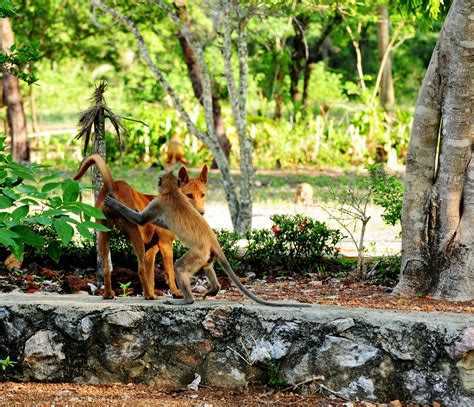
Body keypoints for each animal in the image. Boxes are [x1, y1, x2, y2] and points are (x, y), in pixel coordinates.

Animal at [72, 155, 207, 302]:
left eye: (203, 195)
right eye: (189, 195)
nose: (201, 213)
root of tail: (114, 186)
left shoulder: (150, 251)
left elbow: (150, 278)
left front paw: (152, 291)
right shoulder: (165, 244)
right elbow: (169, 272)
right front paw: (175, 292)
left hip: (103, 235)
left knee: (107, 268)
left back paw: (110, 294)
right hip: (134, 234)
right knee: (140, 269)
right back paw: (148, 295)